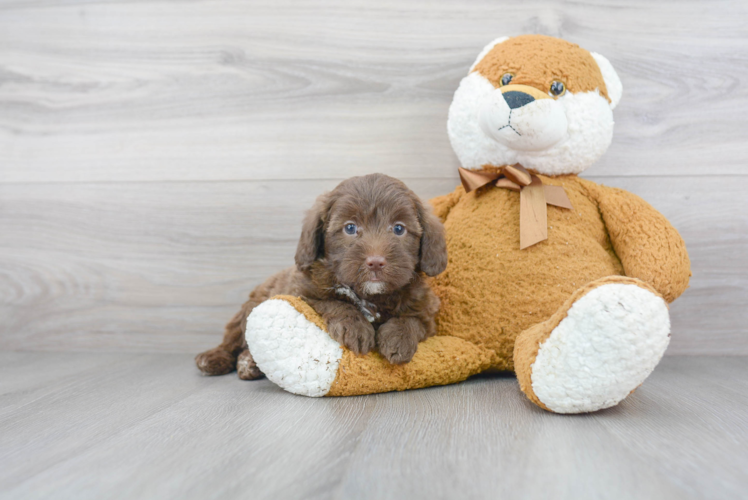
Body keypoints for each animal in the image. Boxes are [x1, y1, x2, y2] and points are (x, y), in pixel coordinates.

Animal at [196, 173, 448, 378]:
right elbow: (332, 302)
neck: (371, 295)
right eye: (350, 228)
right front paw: (355, 328)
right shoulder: (303, 293)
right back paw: (215, 358)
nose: (376, 261)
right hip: (249, 308)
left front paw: (399, 339)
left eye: (398, 228)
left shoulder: (427, 312)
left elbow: (412, 320)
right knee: (233, 339)